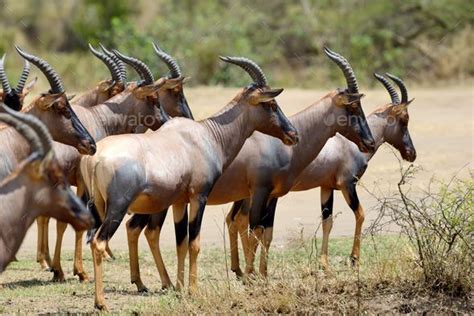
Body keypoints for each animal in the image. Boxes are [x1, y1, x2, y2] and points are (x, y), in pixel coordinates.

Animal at [79, 56, 298, 308]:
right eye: (270, 104)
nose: (293, 134)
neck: (205, 135)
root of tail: (95, 157)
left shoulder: (179, 202)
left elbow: (181, 243)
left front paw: (179, 288)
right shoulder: (198, 197)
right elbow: (194, 242)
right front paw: (193, 290)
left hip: (101, 205)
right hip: (117, 207)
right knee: (99, 242)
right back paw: (101, 302)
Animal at [124, 48, 376, 288]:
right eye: (354, 106)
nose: (370, 142)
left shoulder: (273, 196)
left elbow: (267, 234)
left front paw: (261, 275)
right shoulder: (259, 192)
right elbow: (254, 231)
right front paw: (250, 275)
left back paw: (148, 282)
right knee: (146, 230)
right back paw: (159, 283)